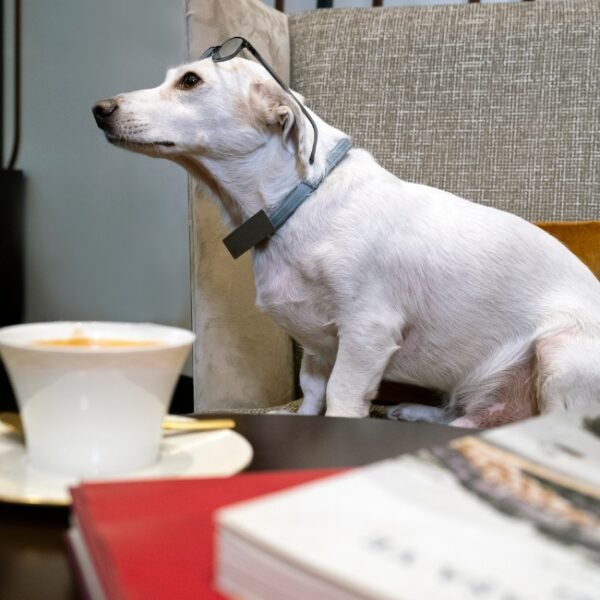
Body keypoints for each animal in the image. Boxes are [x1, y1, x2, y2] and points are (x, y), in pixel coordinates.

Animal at [92, 49, 600, 428]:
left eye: (191, 81)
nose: (99, 110)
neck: (298, 202)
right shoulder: (319, 345)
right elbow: (313, 394)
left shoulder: (366, 332)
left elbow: (340, 396)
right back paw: (417, 412)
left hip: (558, 352)